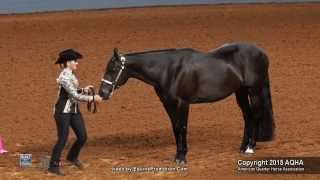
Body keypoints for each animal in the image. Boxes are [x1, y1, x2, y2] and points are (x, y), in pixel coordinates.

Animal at [99, 42, 274, 165]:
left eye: (112, 69)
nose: (102, 93)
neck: (168, 70)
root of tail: (261, 52)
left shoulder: (183, 103)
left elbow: (182, 127)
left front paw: (182, 156)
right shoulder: (168, 104)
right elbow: (175, 128)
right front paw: (178, 155)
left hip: (254, 90)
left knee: (256, 115)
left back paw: (250, 147)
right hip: (241, 92)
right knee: (248, 116)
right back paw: (243, 147)